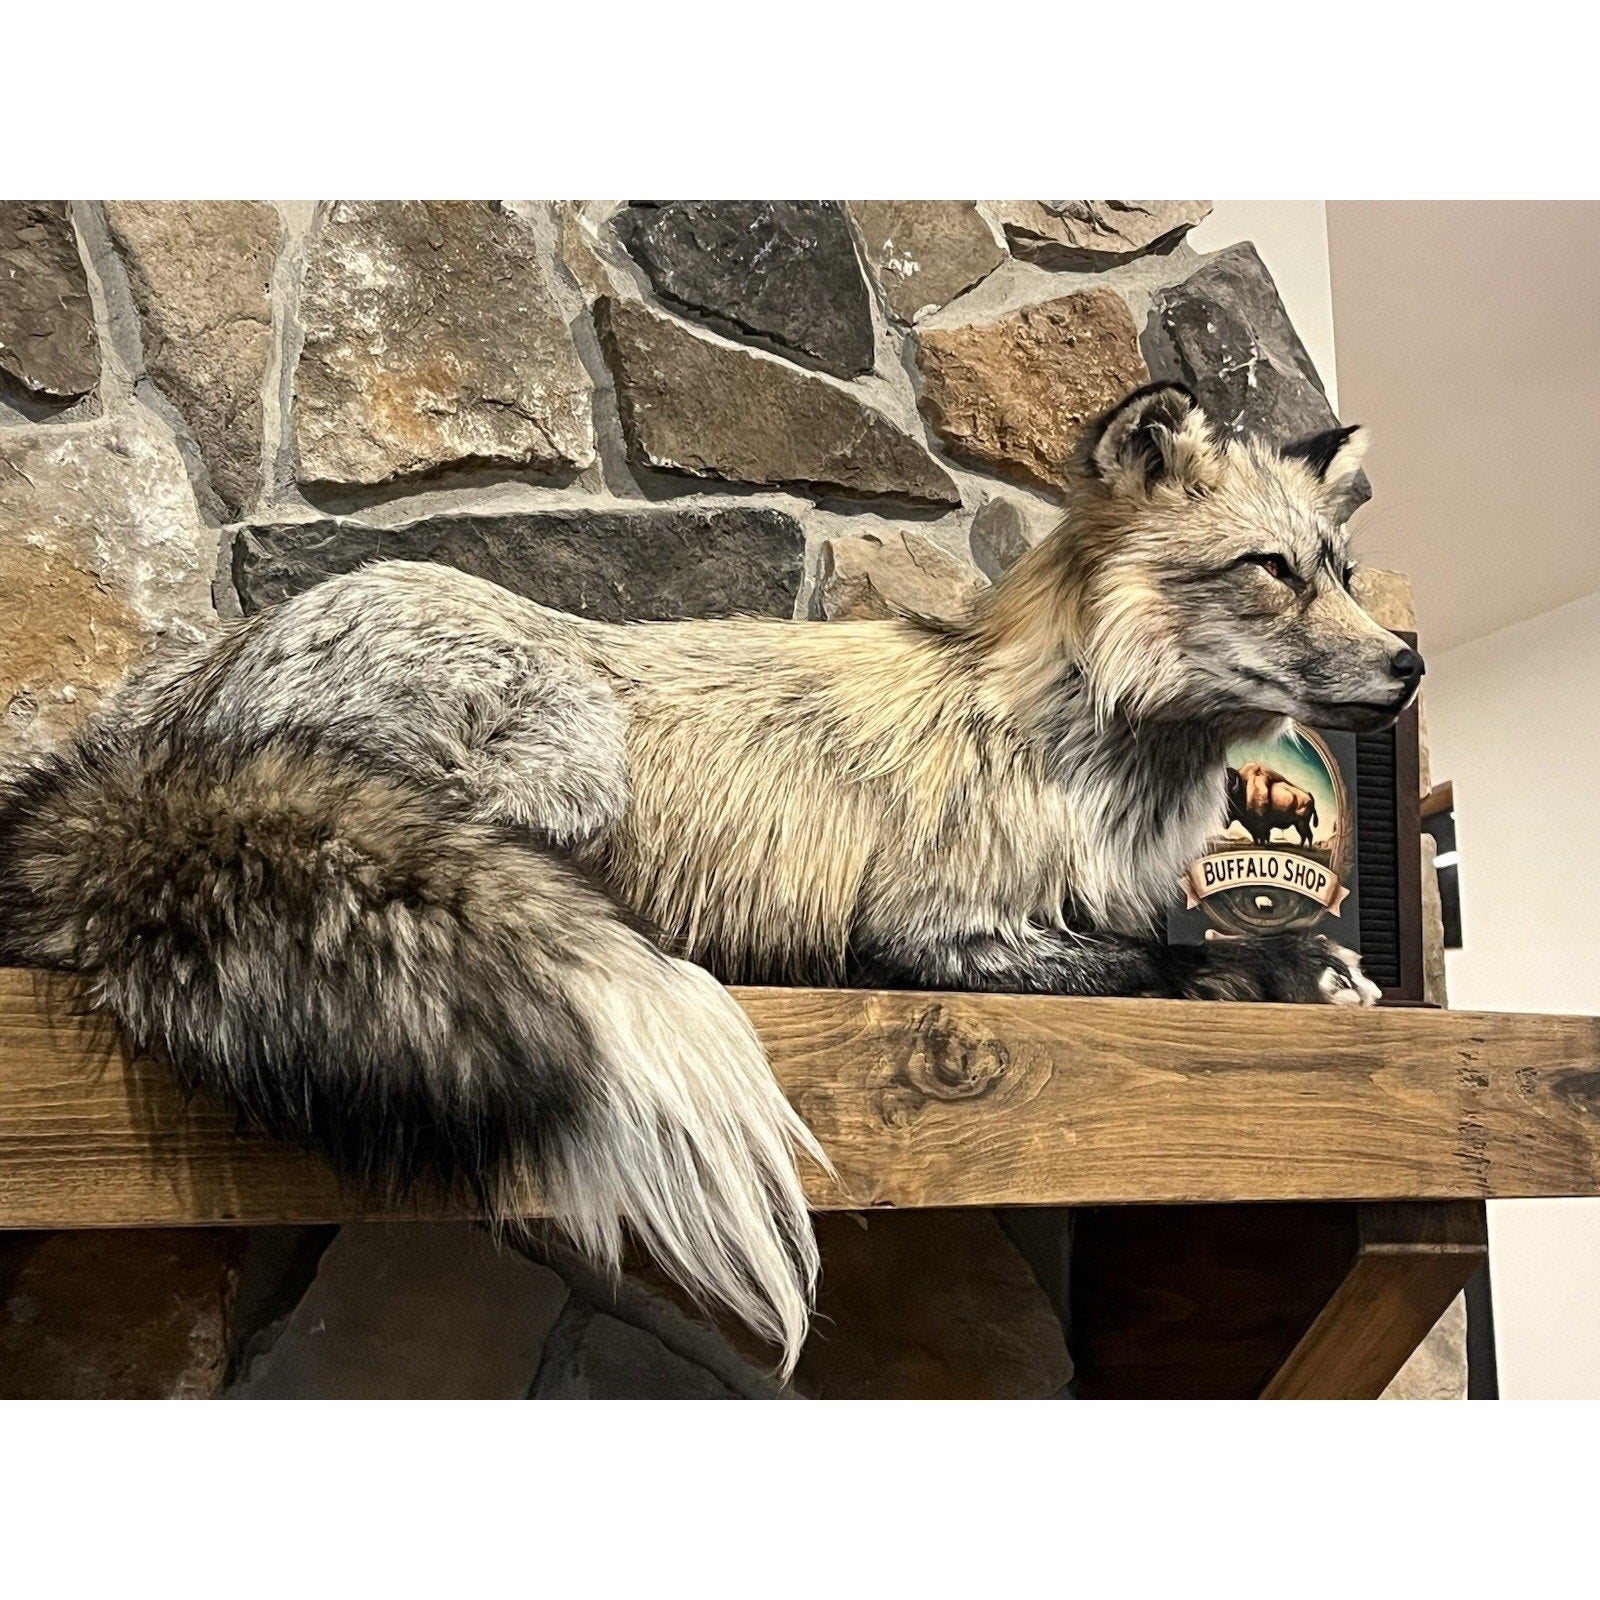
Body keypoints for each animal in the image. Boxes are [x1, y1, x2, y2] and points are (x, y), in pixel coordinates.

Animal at [0, 383, 1422, 1372]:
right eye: (1269, 571)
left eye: (1342, 572)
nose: (1408, 663)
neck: (1079, 752)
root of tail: (185, 695)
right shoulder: (934, 933)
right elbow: (1157, 961)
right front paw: (1291, 965)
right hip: (572, 763)